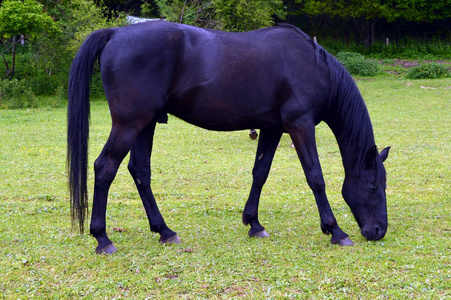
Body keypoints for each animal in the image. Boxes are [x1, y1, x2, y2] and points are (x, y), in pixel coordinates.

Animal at [68, 22, 392, 254]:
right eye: (372, 186)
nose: (378, 231)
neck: (312, 66)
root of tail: (116, 33)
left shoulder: (273, 128)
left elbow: (260, 173)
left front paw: (254, 223)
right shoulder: (300, 125)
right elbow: (316, 177)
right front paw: (335, 231)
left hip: (144, 124)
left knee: (140, 172)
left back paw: (165, 231)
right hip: (129, 124)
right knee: (104, 168)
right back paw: (102, 238)